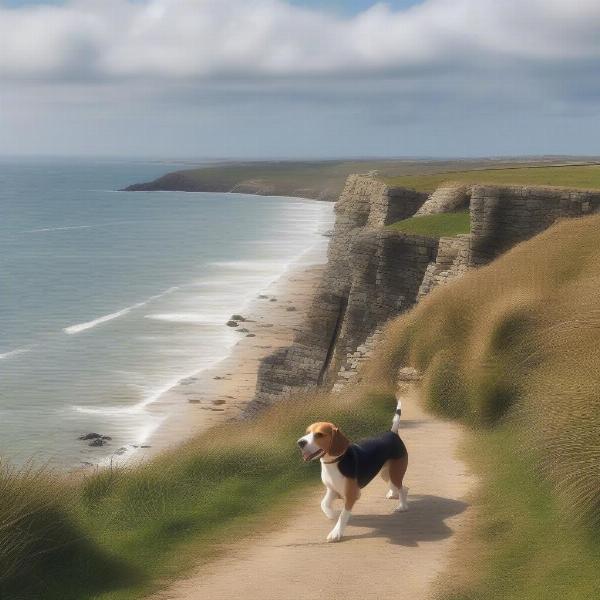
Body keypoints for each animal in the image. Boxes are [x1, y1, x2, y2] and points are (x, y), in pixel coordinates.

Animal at [296, 404, 408, 544]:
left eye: (319, 434)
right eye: (307, 432)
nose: (300, 442)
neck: (335, 461)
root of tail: (392, 433)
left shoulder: (351, 495)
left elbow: (343, 515)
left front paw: (336, 533)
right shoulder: (332, 490)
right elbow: (324, 504)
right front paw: (333, 514)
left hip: (395, 472)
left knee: (402, 488)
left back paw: (402, 506)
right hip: (385, 473)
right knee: (399, 486)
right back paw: (393, 494)